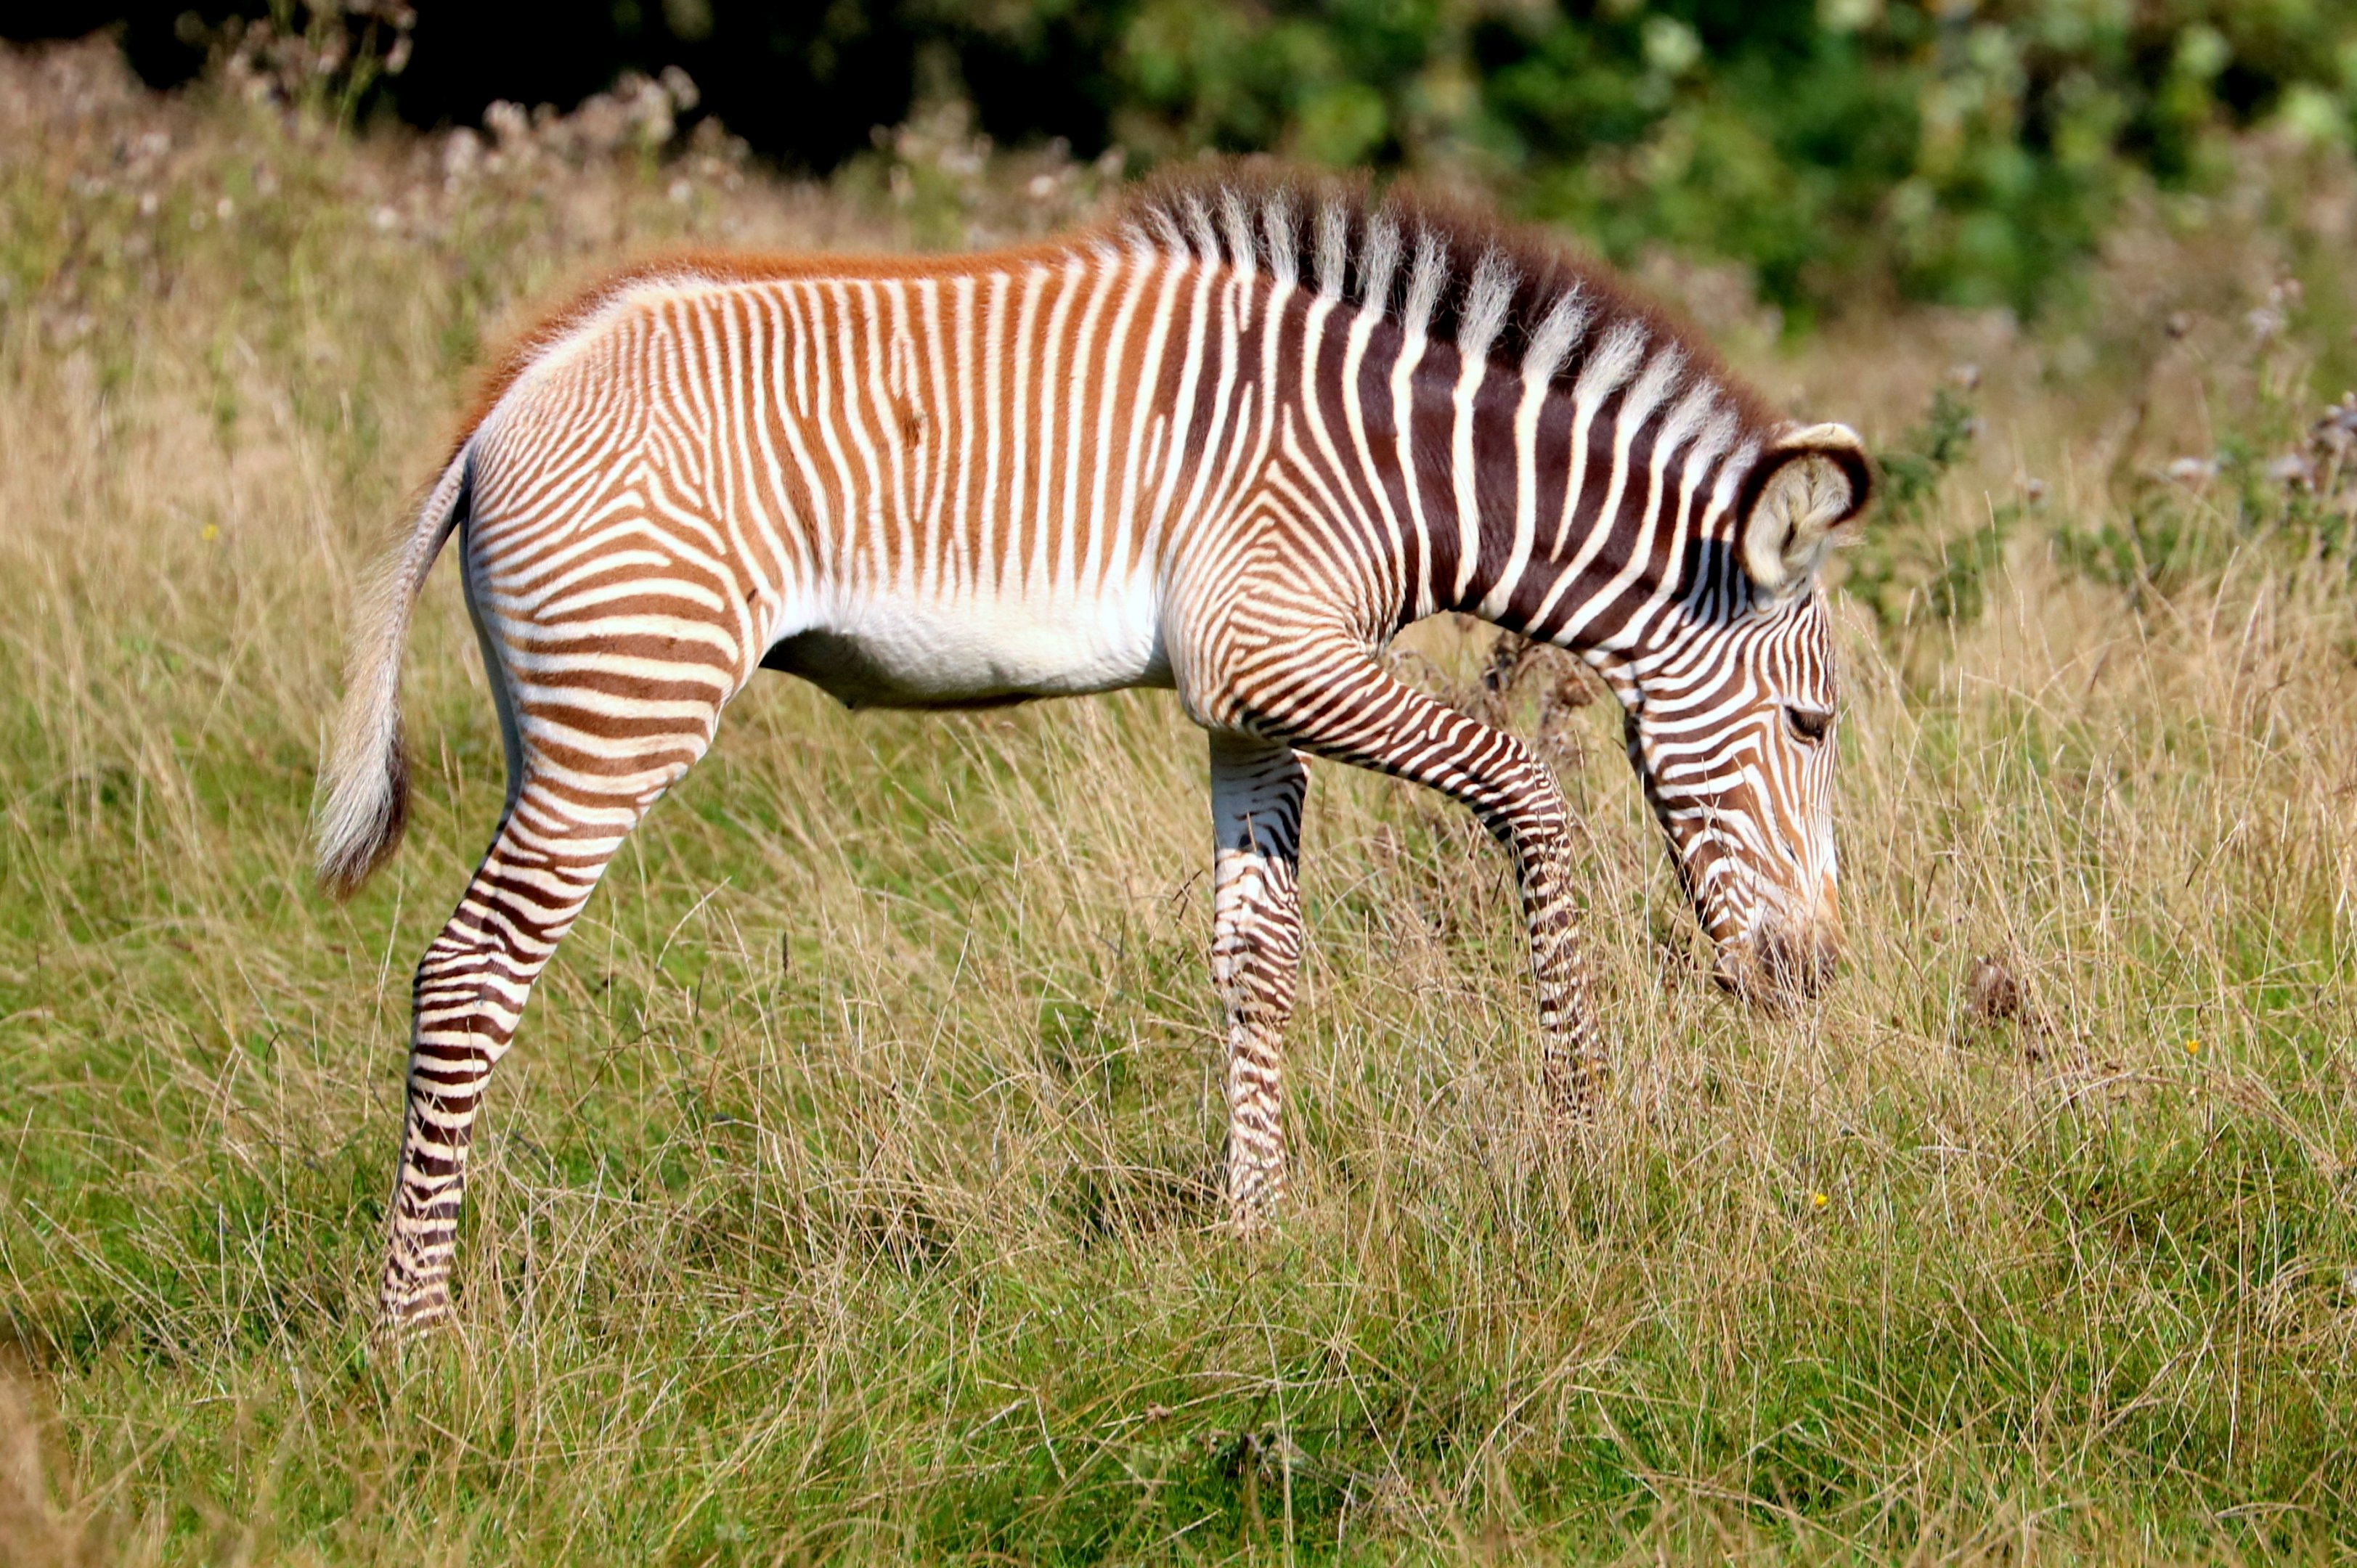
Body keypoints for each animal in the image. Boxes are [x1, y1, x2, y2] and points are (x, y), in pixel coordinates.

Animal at [317, 168, 1872, 1330]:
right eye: (1812, 724)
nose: (1812, 981)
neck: (1392, 460)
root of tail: (508, 400)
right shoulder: (1275, 650)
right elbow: (1531, 799)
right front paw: (1580, 1139)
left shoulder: (1250, 695)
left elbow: (1257, 959)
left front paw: (1258, 1233)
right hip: (624, 701)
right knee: (467, 975)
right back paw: (412, 1334)